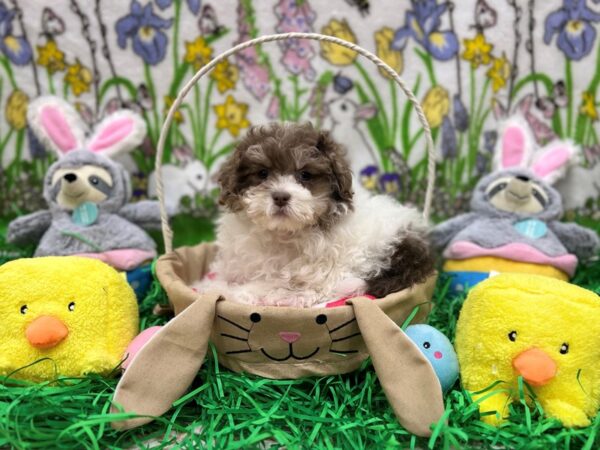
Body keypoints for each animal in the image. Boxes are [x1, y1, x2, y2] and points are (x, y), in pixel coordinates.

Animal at [195, 123, 434, 306]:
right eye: (262, 173)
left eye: (305, 175)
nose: (281, 196)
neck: (280, 232)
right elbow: (227, 271)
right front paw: (208, 284)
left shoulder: (298, 268)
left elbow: (265, 284)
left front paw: (228, 292)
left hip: (357, 257)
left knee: (327, 288)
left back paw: (288, 298)